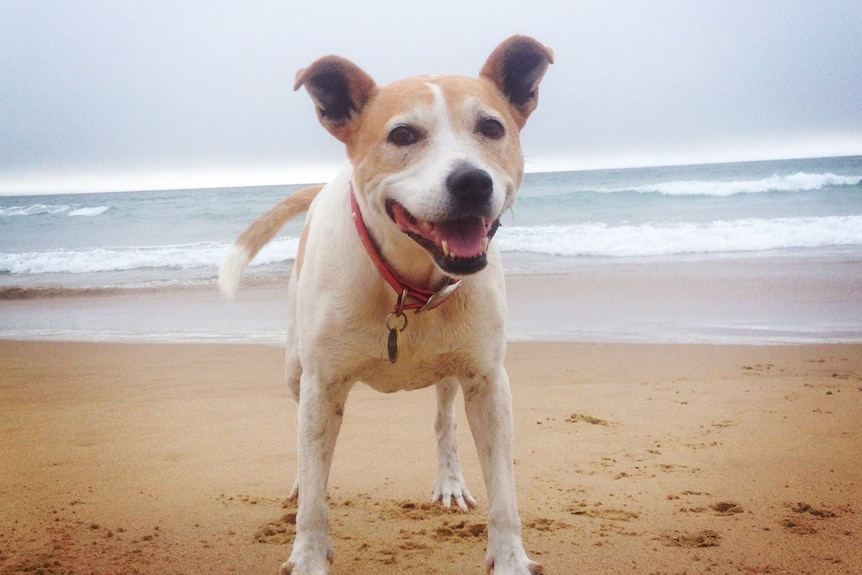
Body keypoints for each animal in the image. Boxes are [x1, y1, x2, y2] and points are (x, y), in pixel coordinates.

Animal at [218, 37, 552, 575]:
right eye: (402, 134)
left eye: (492, 127)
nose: (472, 182)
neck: (408, 285)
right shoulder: (322, 383)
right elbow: (314, 490)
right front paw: (308, 555)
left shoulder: (488, 382)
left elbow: (504, 491)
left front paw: (510, 559)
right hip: (294, 367)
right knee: (306, 445)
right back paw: (302, 481)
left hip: (450, 373)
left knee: (444, 420)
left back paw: (451, 481)